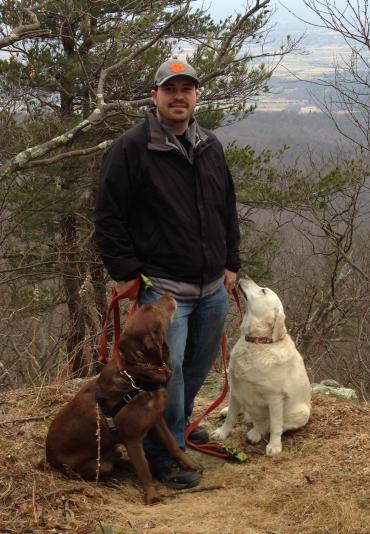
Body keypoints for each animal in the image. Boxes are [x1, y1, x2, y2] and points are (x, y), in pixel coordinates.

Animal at [47, 296, 202, 504]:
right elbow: (143, 469)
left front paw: (190, 464)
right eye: (152, 308)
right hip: (97, 465)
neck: (134, 378)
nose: (169, 295)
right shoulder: (133, 439)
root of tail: (47, 458)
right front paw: (152, 496)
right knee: (107, 469)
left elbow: (172, 444)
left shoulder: (156, 419)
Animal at [212, 276, 310, 456]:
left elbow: (276, 425)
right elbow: (231, 416)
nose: (245, 276)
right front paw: (222, 432)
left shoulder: (275, 397)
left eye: (263, 291)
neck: (257, 342)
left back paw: (255, 432)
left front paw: (274, 445)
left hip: (301, 413)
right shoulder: (235, 387)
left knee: (270, 424)